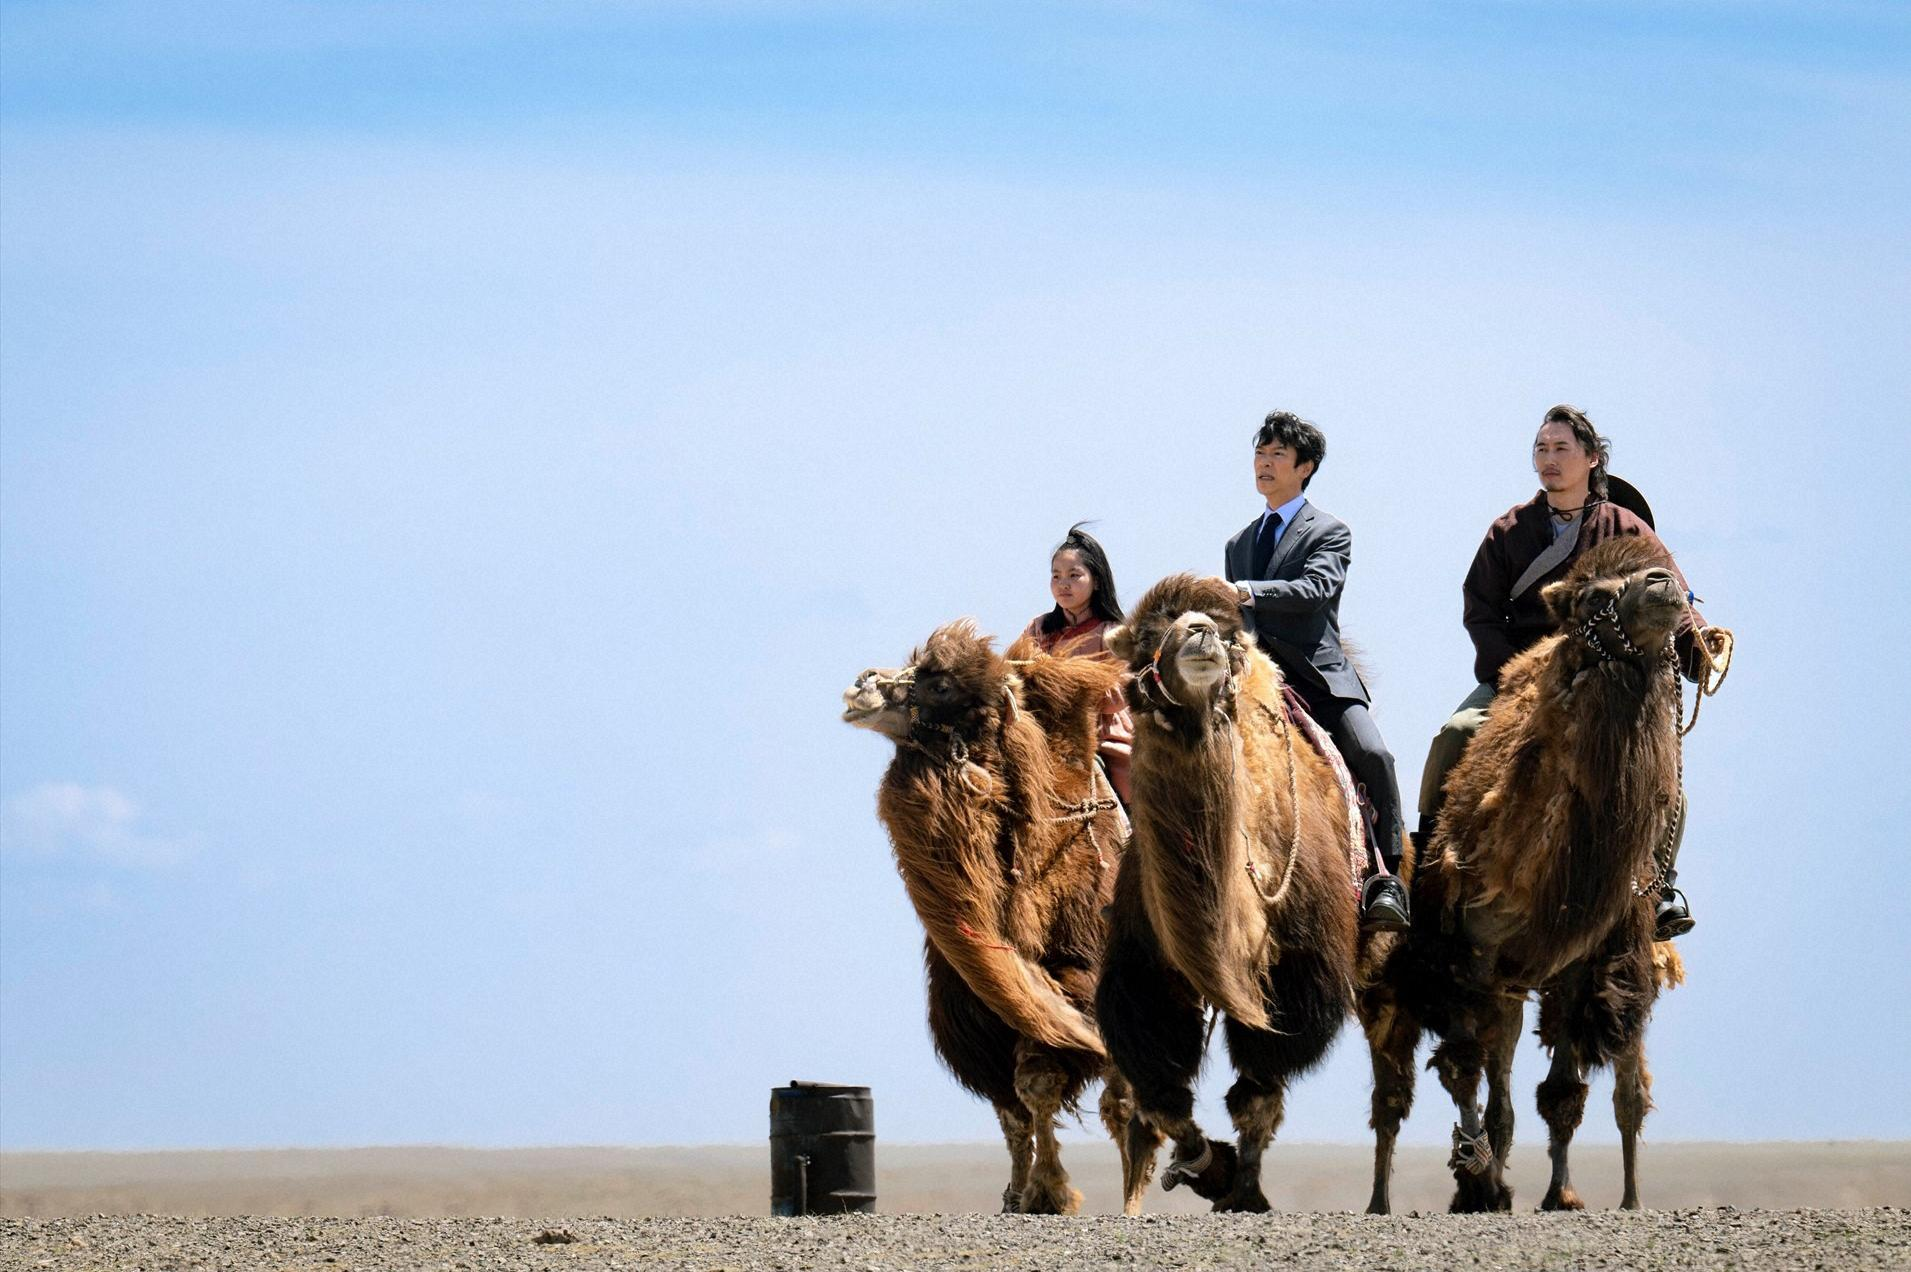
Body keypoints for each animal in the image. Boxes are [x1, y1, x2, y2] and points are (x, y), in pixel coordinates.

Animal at [842, 620, 1140, 1214]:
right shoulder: (977, 1014)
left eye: (942, 685)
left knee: (1124, 1103)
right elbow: (1012, 1109)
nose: (861, 683)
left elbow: (1040, 1084)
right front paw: (1021, 1194)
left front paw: (1051, 1193)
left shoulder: (1081, 976)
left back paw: (1132, 1200)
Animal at [1094, 574, 1397, 1215]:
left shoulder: (1299, 970)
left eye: (1230, 635)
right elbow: (1159, 1091)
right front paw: (1205, 1163)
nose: (1200, 633)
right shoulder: (1144, 968)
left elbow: (1258, 1088)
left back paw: (1382, 1201)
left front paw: (1241, 1188)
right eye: (1149, 635)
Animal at [1363, 536, 1725, 1214]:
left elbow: (1561, 1095)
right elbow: (1463, 1069)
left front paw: (1560, 1194)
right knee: (1454, 1082)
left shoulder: (1580, 960)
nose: (1663, 585)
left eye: (1665, 566)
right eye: (1592, 596)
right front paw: (1477, 1176)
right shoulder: (1472, 954)